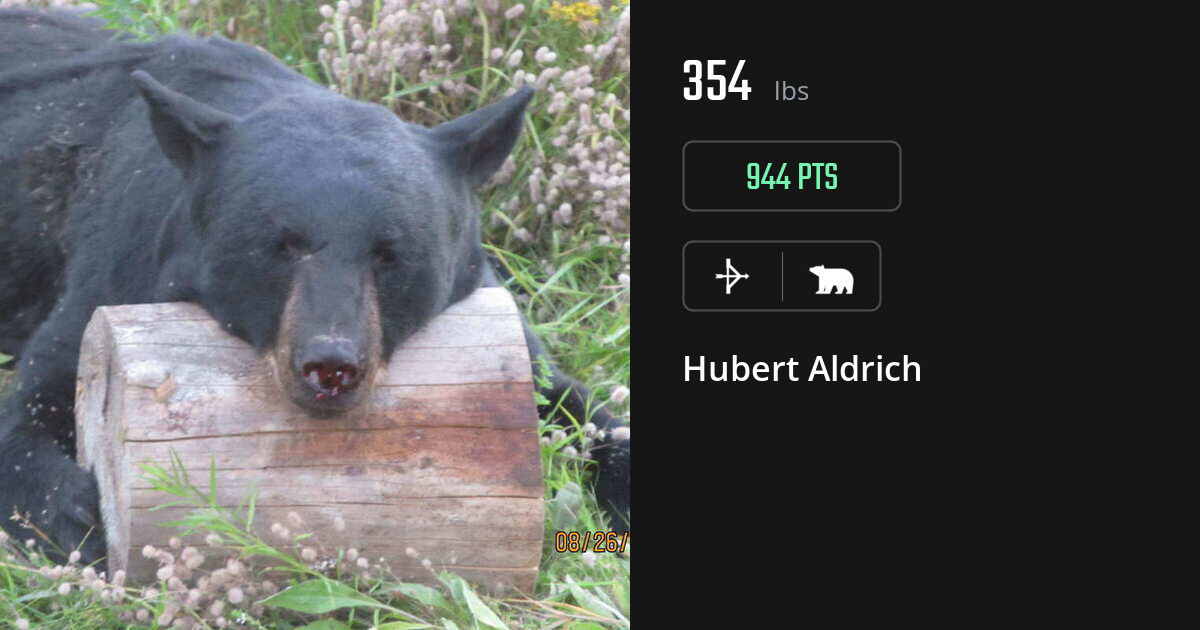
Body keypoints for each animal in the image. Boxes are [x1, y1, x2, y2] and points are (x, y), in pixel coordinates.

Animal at [0, 9, 629, 567]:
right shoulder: (111, 268)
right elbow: (36, 398)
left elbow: (569, 396)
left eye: (391, 253)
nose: (331, 365)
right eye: (283, 245)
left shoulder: (488, 307)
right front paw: (78, 520)